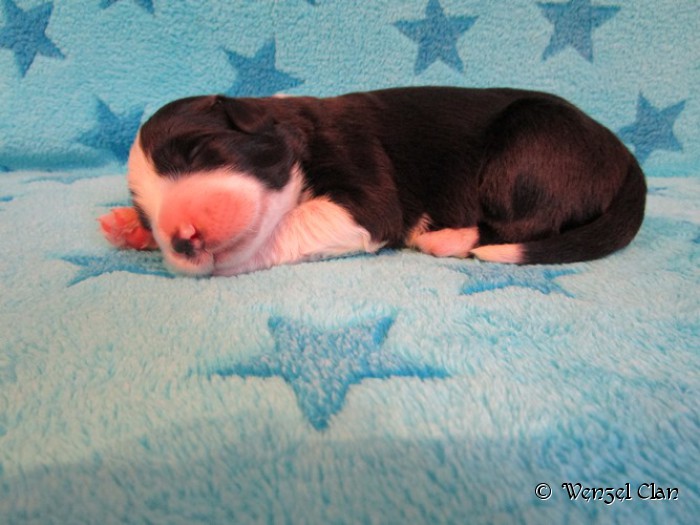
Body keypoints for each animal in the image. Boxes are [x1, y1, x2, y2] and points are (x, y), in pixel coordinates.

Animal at [99, 87, 646, 276]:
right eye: (148, 211)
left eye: (198, 151)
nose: (179, 237)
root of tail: (624, 154)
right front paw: (127, 227)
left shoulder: (365, 188)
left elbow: (291, 224)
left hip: (528, 143)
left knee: (528, 224)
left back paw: (446, 239)